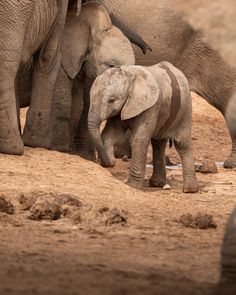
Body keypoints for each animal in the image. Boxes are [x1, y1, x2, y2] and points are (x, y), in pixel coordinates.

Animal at [87, 61, 198, 194]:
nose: (112, 162)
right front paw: (108, 159)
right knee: (158, 144)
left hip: (186, 107)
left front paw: (133, 186)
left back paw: (189, 190)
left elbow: (139, 140)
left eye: (111, 100)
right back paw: (157, 184)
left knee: (182, 144)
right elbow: (110, 134)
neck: (129, 75)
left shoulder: (150, 107)